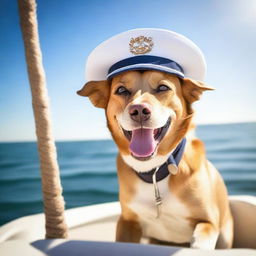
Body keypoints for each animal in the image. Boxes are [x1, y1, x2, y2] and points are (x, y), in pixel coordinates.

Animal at [77, 28, 234, 250]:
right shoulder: (128, 222)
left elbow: (199, 242)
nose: (139, 110)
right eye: (121, 90)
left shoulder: (208, 222)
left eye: (162, 88)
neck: (153, 174)